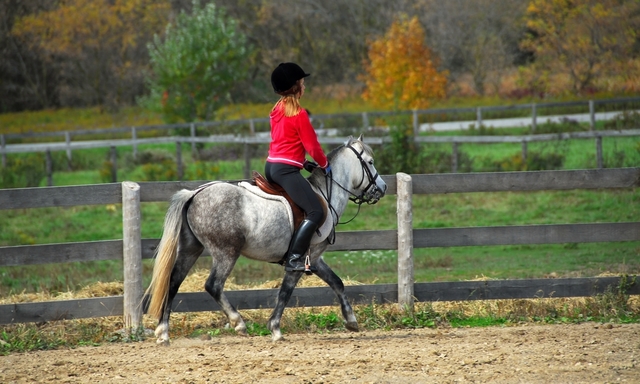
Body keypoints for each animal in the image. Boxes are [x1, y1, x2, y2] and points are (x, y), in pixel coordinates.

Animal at [145, 134, 384, 342]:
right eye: (370, 162)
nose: (382, 187)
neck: (325, 194)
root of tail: (194, 194)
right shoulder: (299, 260)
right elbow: (285, 292)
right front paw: (275, 328)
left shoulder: (314, 258)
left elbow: (337, 283)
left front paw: (351, 320)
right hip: (226, 253)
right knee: (213, 285)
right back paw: (238, 323)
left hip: (190, 249)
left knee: (173, 282)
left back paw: (163, 332)